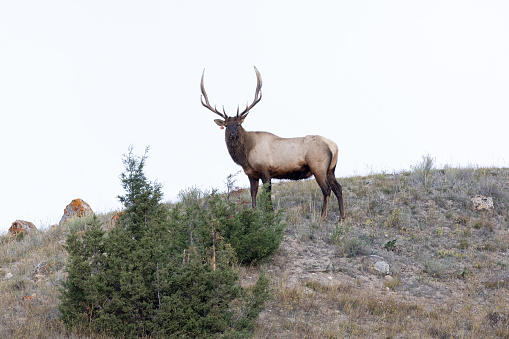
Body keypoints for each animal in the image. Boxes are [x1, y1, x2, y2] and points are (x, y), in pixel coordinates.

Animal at [199, 67, 346, 220]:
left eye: (239, 124)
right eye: (227, 125)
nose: (232, 134)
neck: (246, 156)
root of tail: (333, 146)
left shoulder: (265, 170)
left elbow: (267, 196)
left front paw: (270, 216)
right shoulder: (251, 174)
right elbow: (253, 195)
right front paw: (254, 214)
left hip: (318, 167)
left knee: (327, 189)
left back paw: (323, 216)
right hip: (331, 169)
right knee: (338, 188)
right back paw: (342, 217)